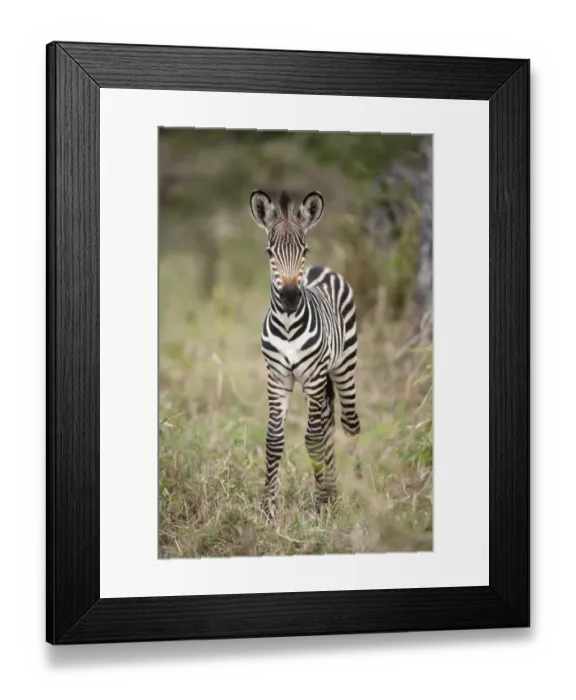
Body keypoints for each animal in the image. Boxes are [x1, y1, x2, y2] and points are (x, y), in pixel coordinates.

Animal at [249, 189, 361, 516]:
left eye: (305, 250)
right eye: (269, 253)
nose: (289, 297)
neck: (288, 325)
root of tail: (324, 269)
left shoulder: (313, 377)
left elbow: (312, 440)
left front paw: (321, 504)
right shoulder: (277, 377)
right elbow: (274, 440)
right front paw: (268, 507)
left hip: (343, 366)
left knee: (349, 424)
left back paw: (360, 491)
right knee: (328, 423)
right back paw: (334, 490)